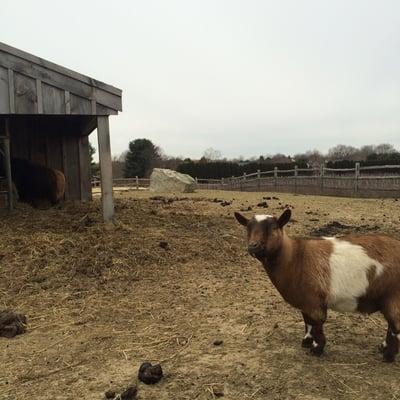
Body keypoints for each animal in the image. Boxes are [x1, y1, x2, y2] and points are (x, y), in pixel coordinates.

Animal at [234, 209, 400, 362]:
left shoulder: (314, 301)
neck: (296, 258)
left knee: (396, 326)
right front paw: (307, 341)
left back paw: (389, 355)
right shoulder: (305, 300)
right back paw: (383, 347)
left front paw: (316, 349)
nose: (253, 246)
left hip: (393, 296)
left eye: (273, 228)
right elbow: (307, 321)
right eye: (248, 228)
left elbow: (317, 324)